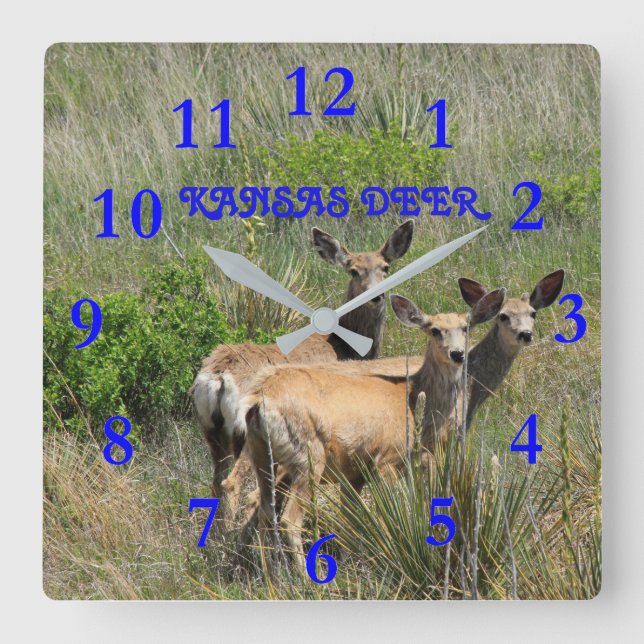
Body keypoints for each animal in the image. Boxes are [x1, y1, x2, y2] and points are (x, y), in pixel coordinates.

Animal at [190, 221, 414, 521]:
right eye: (353, 270)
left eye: (385, 267)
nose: (376, 296)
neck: (344, 345)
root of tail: (217, 376)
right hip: (246, 432)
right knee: (232, 483)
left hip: (213, 433)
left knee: (216, 482)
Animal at [239, 285, 506, 572]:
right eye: (434, 330)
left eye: (466, 327)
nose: (457, 354)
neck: (414, 399)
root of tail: (257, 397)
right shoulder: (387, 458)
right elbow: (390, 514)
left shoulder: (355, 472)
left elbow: (351, 520)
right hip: (308, 454)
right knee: (289, 518)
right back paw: (306, 576)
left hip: (261, 454)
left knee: (266, 511)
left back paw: (270, 574)